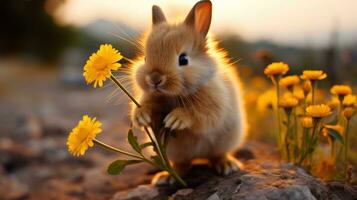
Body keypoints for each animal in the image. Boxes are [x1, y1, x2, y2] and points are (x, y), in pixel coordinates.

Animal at [129, 0, 246, 185]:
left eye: (183, 59)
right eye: (146, 58)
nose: (154, 79)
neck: (174, 95)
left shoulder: (213, 106)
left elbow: (197, 114)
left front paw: (176, 119)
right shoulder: (151, 98)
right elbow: (146, 106)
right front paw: (142, 117)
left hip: (225, 142)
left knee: (217, 155)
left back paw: (227, 166)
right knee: (182, 165)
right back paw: (167, 177)